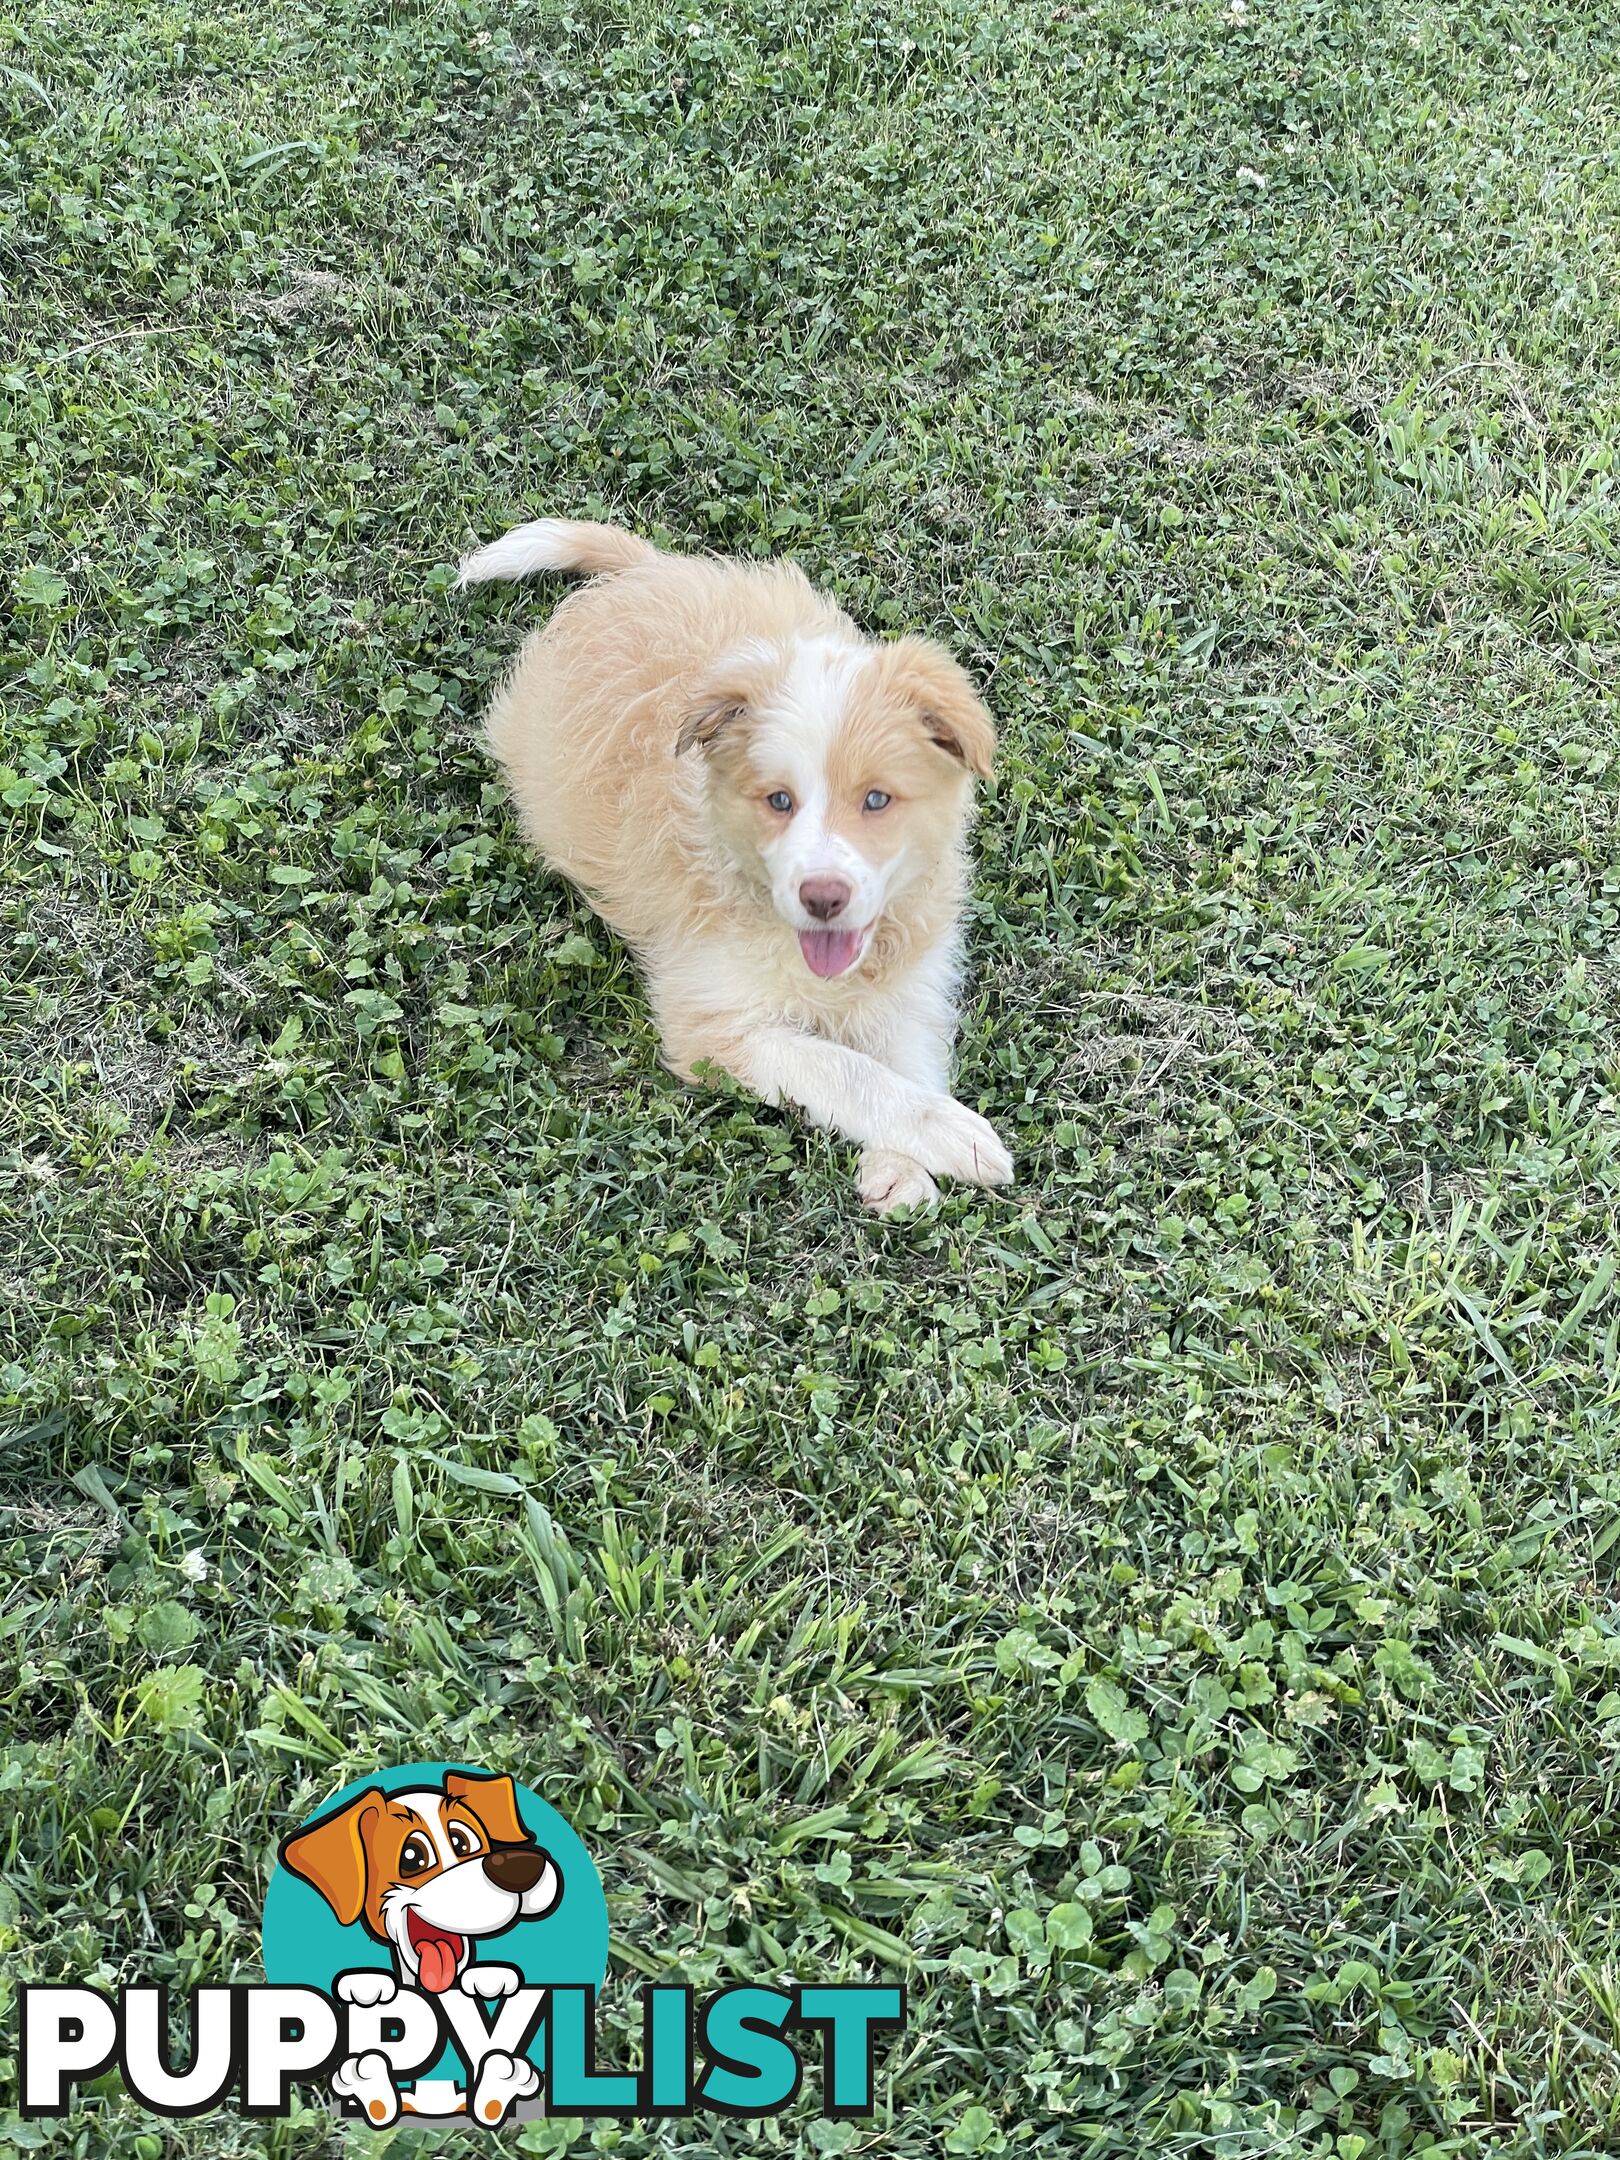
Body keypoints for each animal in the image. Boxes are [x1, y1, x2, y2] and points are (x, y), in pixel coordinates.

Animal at [457, 514, 1015, 1209]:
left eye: (877, 799)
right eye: (778, 801)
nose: (823, 898)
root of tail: (645, 570)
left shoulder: (912, 989)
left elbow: (907, 1060)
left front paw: (905, 1164)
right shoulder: (713, 1025)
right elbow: (839, 1066)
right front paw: (952, 1135)